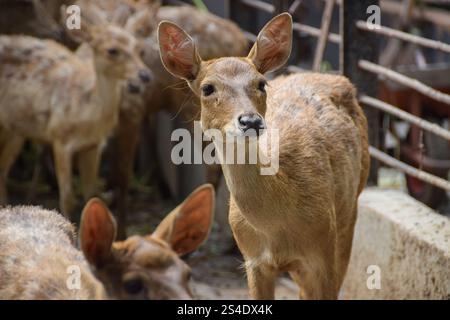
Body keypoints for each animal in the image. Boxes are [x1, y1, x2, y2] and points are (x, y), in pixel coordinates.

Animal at [0, 20, 151, 219]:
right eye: (112, 50)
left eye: (140, 50)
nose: (145, 75)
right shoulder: (60, 139)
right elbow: (67, 197)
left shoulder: (93, 145)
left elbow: (92, 194)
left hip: (15, 130)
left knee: (2, 170)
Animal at [157, 11, 370, 298]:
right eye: (207, 88)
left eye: (261, 83)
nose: (250, 120)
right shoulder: (253, 260)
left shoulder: (323, 252)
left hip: (350, 211)